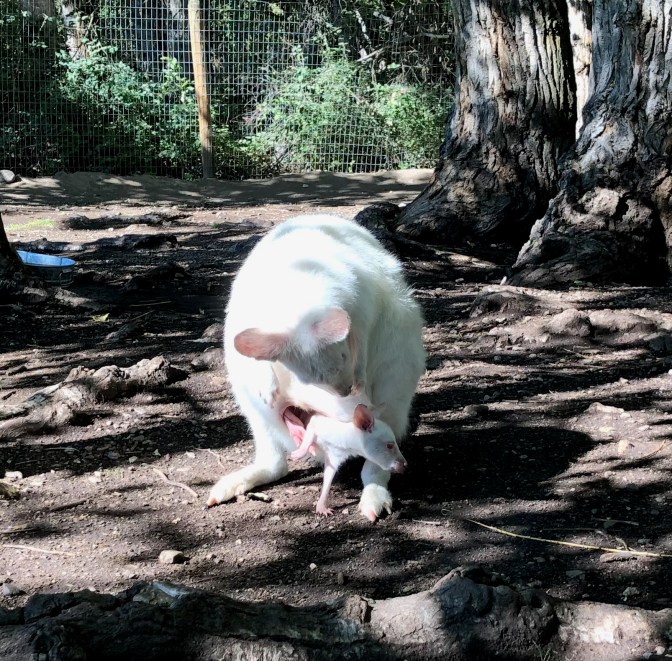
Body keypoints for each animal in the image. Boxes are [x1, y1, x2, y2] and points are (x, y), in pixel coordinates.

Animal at [207, 213, 425, 521]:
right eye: (309, 379)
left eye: (344, 358)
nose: (359, 404)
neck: (297, 300)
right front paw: (268, 384)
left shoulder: (360, 313)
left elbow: (361, 342)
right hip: (248, 400)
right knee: (275, 462)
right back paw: (230, 484)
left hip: (397, 372)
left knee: (378, 462)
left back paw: (373, 500)